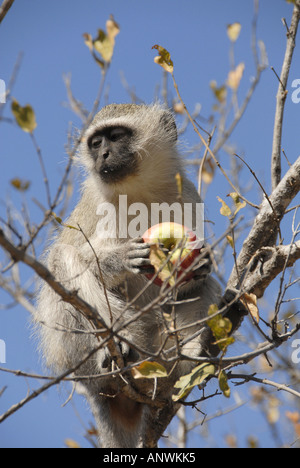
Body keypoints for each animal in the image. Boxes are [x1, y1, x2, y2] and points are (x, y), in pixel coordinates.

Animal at [35, 104, 246, 448]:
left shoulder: (187, 194)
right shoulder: (98, 205)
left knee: (205, 290)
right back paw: (119, 348)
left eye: (117, 136)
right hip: (74, 353)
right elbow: (81, 256)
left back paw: (189, 356)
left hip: (158, 351)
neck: (138, 189)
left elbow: (191, 284)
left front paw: (202, 264)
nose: (103, 154)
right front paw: (120, 259)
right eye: (96, 142)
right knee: (63, 259)